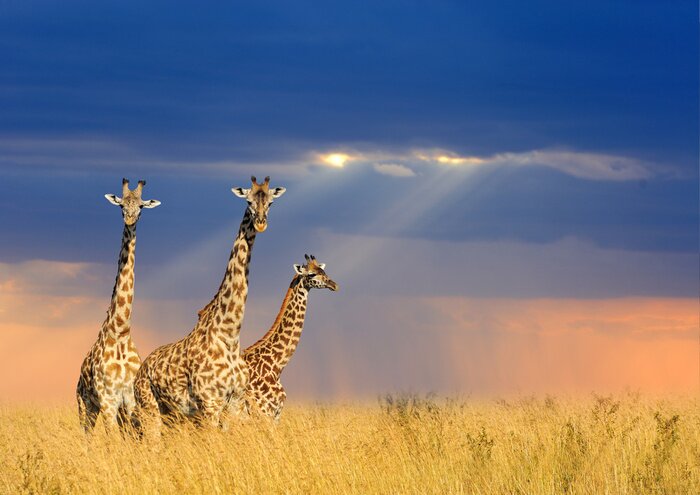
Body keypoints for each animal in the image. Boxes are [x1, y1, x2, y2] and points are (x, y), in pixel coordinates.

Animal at [76, 178, 161, 433]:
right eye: (121, 205)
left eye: (141, 207)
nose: (130, 219)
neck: (121, 330)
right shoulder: (108, 400)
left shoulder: (129, 399)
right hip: (85, 405)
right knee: (86, 435)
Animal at [133, 176, 285, 434]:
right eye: (248, 201)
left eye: (271, 202)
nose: (261, 223)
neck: (230, 335)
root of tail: (141, 370)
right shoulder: (210, 403)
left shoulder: (235, 403)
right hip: (149, 407)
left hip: (172, 414)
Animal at [242, 254, 338, 421]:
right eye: (311, 274)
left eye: (324, 271)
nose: (334, 285)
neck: (276, 366)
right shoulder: (264, 412)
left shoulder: (275, 415)